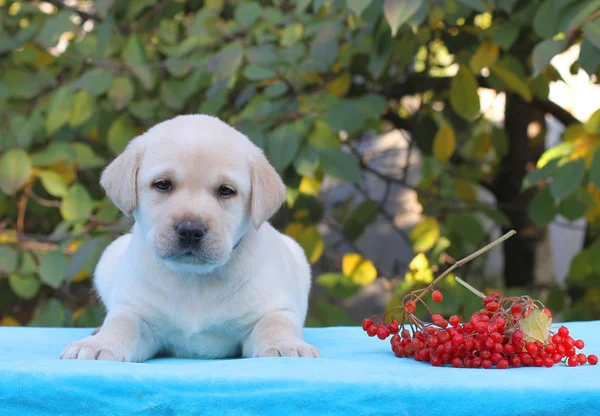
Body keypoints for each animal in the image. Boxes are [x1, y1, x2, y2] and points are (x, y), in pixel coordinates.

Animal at [61, 115, 322, 362]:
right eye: (162, 184)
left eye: (226, 190)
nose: (190, 230)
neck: (193, 278)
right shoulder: (135, 311)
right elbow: (120, 324)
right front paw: (98, 345)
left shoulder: (274, 309)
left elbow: (275, 324)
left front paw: (287, 346)